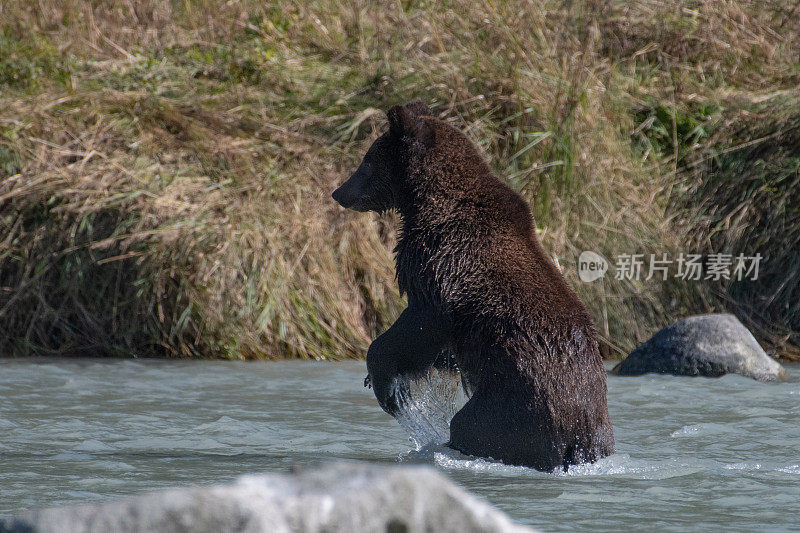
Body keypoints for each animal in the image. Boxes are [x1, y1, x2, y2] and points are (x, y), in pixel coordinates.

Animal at [332, 101, 612, 470]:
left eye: (367, 160)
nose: (339, 192)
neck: (426, 201)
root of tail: (578, 434)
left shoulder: (444, 268)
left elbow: (419, 326)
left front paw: (388, 386)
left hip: (513, 403)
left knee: (472, 425)